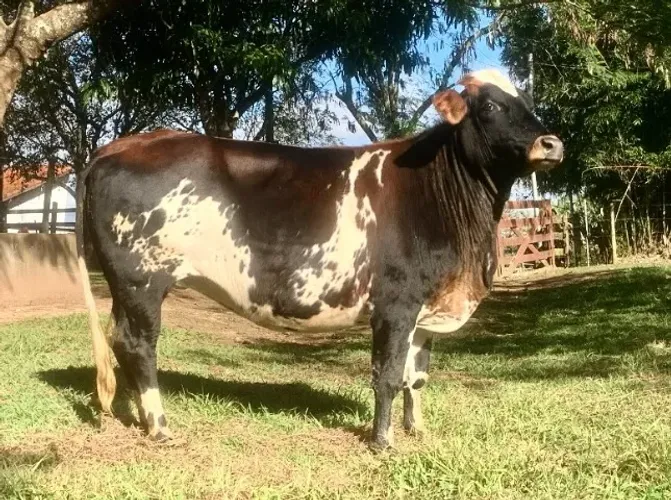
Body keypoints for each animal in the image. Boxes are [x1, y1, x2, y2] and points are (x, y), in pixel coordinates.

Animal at [76, 69, 563, 452]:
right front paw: (382, 442)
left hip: (125, 287)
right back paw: (159, 426)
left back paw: (138, 415)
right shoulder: (396, 304)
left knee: (121, 342)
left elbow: (416, 377)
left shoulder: (428, 308)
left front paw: (417, 429)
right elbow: (387, 375)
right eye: (491, 106)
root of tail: (121, 146)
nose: (552, 143)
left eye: (528, 101)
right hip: (142, 280)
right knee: (140, 345)